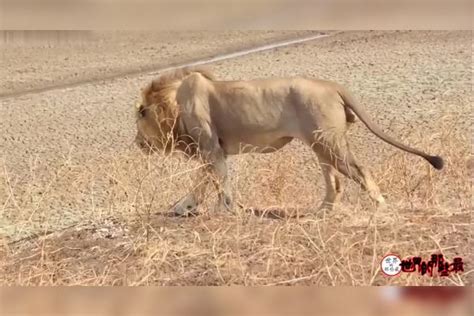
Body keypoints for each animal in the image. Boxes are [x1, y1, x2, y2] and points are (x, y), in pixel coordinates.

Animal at [134, 66, 444, 215]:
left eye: (139, 116)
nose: (137, 142)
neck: (175, 101)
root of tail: (332, 85)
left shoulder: (211, 149)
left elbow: (216, 183)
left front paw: (223, 211)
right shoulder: (214, 151)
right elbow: (205, 182)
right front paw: (186, 208)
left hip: (329, 142)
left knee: (359, 170)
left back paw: (379, 207)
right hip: (320, 144)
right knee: (335, 182)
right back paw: (322, 211)